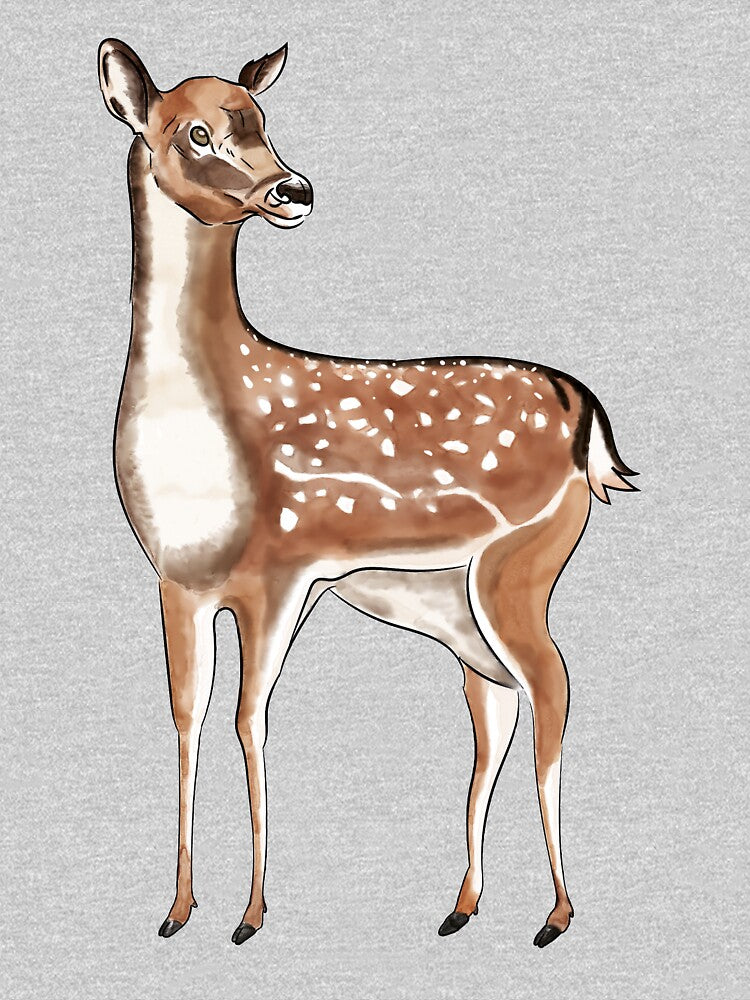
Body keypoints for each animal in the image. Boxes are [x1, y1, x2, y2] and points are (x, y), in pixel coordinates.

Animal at [97, 37, 638, 949]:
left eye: (263, 119)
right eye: (194, 131)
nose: (294, 189)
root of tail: (589, 419)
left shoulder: (283, 569)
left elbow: (249, 721)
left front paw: (249, 916)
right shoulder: (176, 580)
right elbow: (187, 718)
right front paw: (176, 912)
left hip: (522, 560)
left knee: (554, 687)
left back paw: (557, 915)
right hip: (456, 606)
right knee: (498, 711)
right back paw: (462, 907)